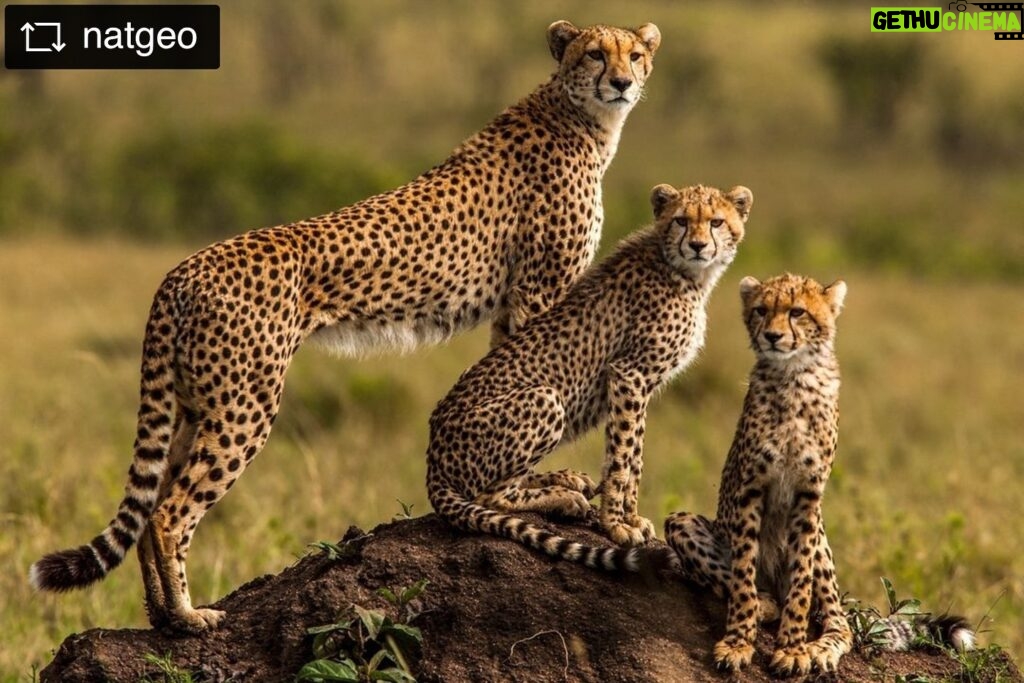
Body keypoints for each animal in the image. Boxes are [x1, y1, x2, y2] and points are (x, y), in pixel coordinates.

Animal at [32, 18, 659, 634]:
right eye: (596, 54)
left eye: (633, 54)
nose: (622, 82)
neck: (581, 118)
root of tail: (182, 269)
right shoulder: (539, 291)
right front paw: (555, 488)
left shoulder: (514, 304)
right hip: (245, 404)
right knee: (167, 512)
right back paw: (190, 616)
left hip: (194, 403)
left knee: (152, 502)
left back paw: (162, 618)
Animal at [425, 183, 753, 561]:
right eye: (682, 220)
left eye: (716, 222)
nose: (698, 245)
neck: (684, 271)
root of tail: (433, 457)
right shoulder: (629, 375)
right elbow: (621, 459)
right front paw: (617, 525)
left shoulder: (638, 383)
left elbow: (634, 455)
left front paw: (631, 516)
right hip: (545, 398)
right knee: (490, 495)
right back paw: (564, 498)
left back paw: (565, 480)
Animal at [663, 274, 974, 679]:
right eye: (760, 310)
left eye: (797, 312)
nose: (773, 336)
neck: (793, 376)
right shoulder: (750, 490)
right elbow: (742, 574)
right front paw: (738, 642)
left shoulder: (808, 497)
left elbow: (801, 581)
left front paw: (793, 650)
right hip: (682, 521)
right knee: (736, 581)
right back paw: (765, 604)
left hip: (823, 544)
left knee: (839, 620)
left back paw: (821, 647)